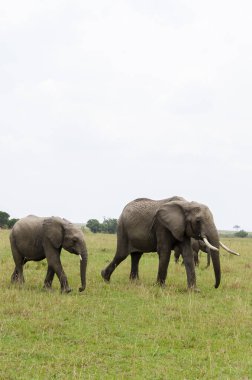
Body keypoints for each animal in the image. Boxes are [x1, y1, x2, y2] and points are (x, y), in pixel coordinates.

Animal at [101, 197, 239, 290]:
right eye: (198, 221)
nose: (214, 286)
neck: (186, 204)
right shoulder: (162, 225)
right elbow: (164, 252)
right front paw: (160, 287)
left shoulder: (182, 228)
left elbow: (187, 254)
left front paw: (194, 290)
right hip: (122, 228)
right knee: (122, 254)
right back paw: (105, 278)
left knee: (136, 256)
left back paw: (134, 282)